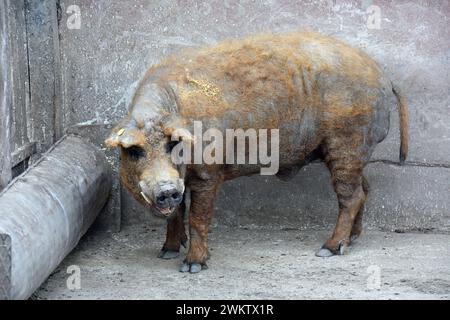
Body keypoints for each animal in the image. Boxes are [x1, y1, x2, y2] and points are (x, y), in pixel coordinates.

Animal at [105, 31, 408, 272]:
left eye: (173, 145)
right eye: (134, 151)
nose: (166, 189)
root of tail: (384, 75)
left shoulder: (208, 172)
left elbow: (197, 217)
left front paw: (192, 267)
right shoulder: (182, 179)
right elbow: (177, 213)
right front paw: (166, 253)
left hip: (347, 141)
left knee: (351, 196)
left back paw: (328, 249)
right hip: (353, 151)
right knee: (364, 189)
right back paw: (353, 240)